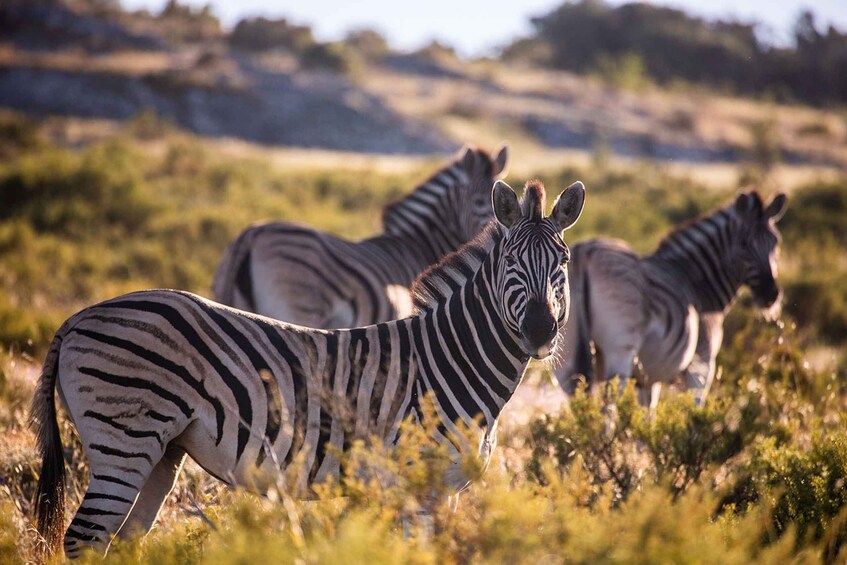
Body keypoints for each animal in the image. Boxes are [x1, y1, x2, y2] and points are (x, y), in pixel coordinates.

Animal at [34, 178, 588, 556]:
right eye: (511, 262)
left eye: (562, 264)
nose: (541, 331)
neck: (450, 362)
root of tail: (78, 317)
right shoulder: (412, 482)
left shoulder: (445, 489)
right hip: (124, 438)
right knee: (82, 539)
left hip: (162, 451)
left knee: (120, 540)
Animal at [556, 189, 788, 406]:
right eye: (744, 245)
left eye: (776, 242)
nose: (771, 294)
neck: (696, 282)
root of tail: (585, 253)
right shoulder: (701, 366)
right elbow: (694, 409)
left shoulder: (647, 379)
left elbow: (647, 413)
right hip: (620, 350)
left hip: (568, 353)